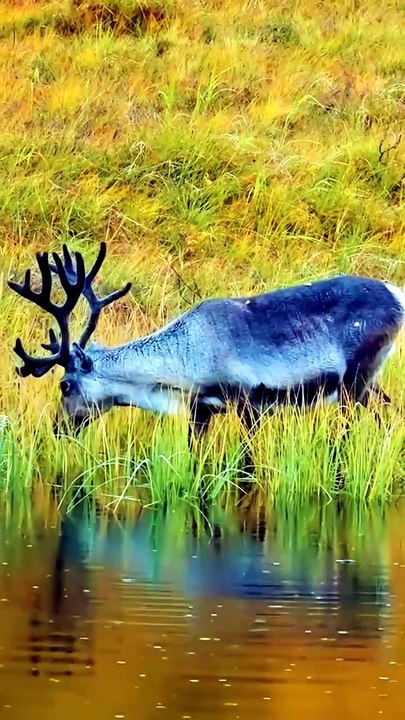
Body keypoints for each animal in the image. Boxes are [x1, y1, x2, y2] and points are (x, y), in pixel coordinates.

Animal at [7, 242, 404, 483]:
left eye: (65, 384)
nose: (57, 428)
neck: (183, 363)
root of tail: (396, 294)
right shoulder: (201, 410)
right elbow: (195, 459)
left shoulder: (248, 402)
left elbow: (247, 465)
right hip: (369, 384)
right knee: (391, 415)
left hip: (355, 381)